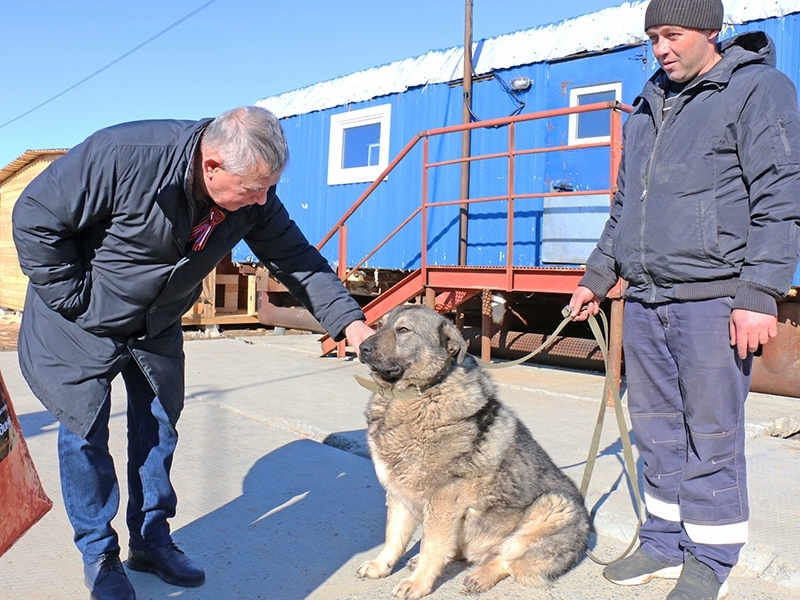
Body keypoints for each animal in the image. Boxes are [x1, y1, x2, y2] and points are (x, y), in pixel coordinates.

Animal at [354, 308, 588, 596]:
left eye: (404, 330)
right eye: (379, 326)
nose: (362, 347)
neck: (419, 394)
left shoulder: (442, 499)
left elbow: (432, 544)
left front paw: (417, 584)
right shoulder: (398, 493)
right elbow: (394, 537)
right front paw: (381, 565)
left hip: (553, 506)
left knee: (507, 558)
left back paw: (481, 575)